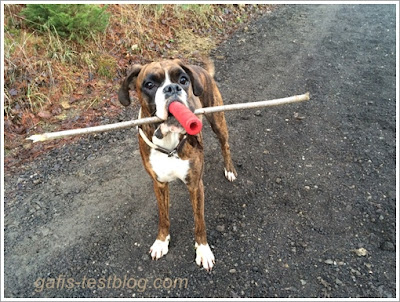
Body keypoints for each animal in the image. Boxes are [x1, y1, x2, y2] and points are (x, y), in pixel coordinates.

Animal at [119, 59, 238, 272]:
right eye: (149, 84)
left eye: (183, 80)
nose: (172, 88)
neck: (168, 141)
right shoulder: (159, 184)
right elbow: (163, 216)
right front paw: (161, 241)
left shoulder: (196, 186)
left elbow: (199, 221)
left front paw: (203, 250)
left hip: (217, 120)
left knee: (225, 145)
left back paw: (230, 169)